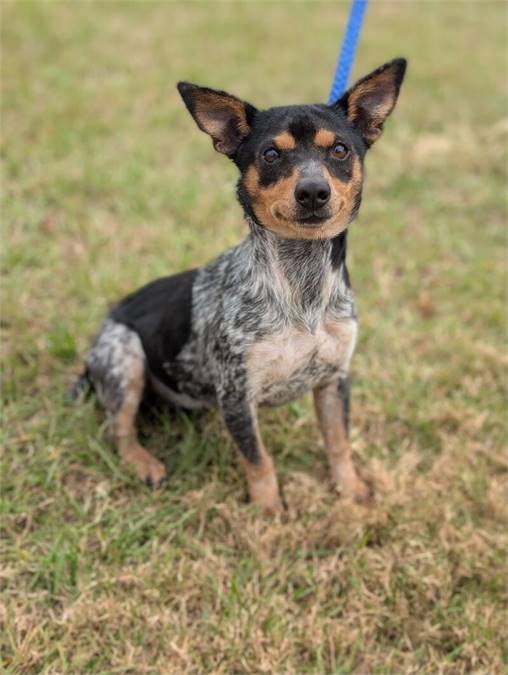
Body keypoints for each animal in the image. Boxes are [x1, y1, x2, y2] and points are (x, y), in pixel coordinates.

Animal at [70, 59, 404, 512]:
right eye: (271, 154)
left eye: (340, 150)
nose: (313, 191)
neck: (302, 285)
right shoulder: (236, 394)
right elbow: (258, 458)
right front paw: (268, 511)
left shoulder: (334, 380)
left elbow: (339, 444)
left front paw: (350, 491)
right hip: (125, 356)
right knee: (118, 429)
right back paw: (144, 463)